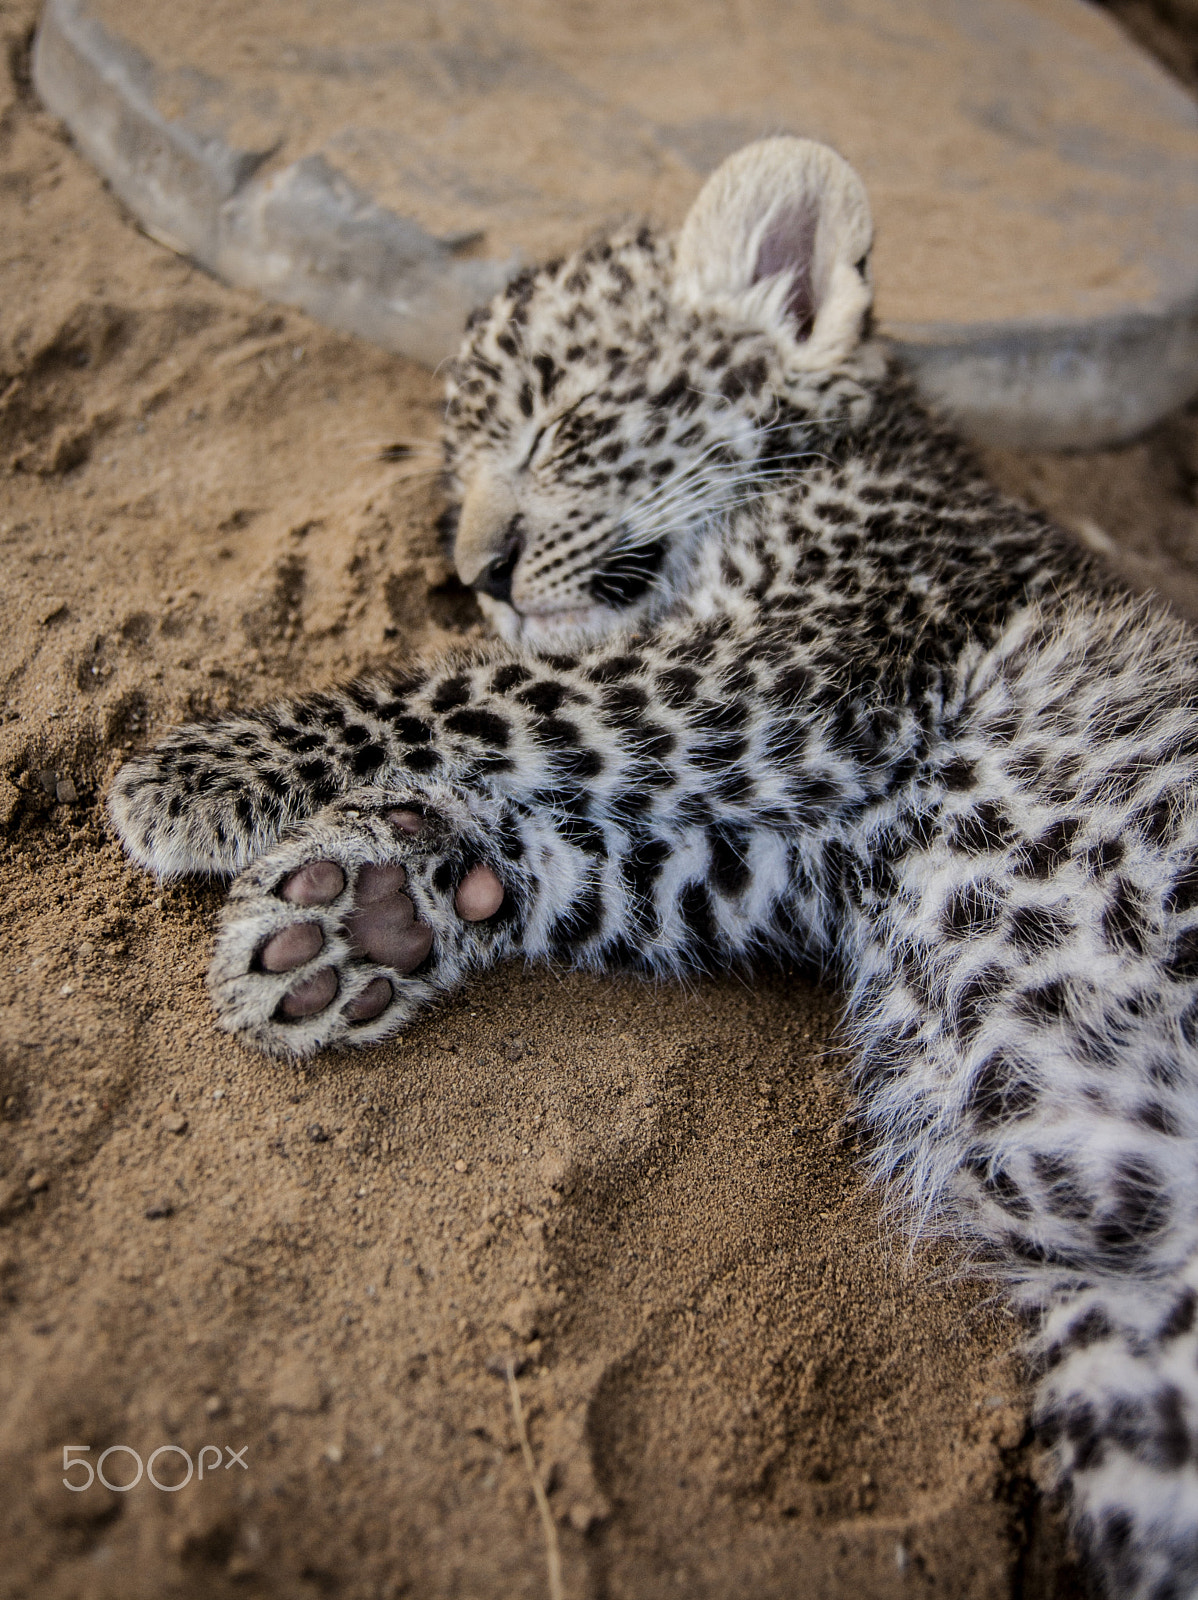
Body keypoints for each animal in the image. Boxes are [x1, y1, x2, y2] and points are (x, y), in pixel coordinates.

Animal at [108, 137, 1198, 1599]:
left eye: (561, 426)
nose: (477, 569)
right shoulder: (796, 849)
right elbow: (592, 848)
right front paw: (365, 913)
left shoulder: (788, 676)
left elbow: (492, 696)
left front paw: (210, 772)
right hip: (1132, 1366)